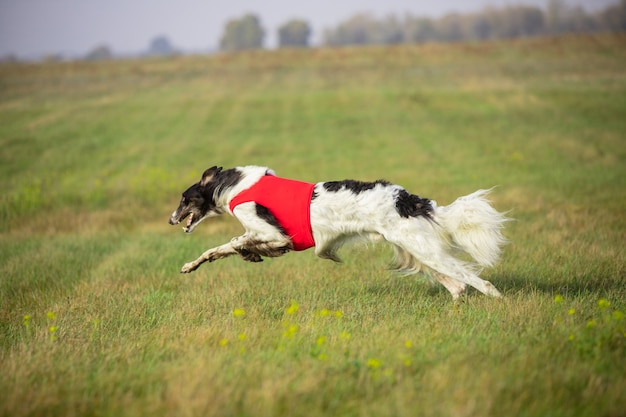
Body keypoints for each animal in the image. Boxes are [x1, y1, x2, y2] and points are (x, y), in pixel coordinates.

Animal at [167, 164, 508, 298]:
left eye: (185, 198)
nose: (171, 220)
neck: (233, 186)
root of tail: (408, 199)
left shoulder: (272, 231)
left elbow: (239, 241)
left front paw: (252, 253)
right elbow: (217, 249)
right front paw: (189, 266)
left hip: (424, 249)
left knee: (481, 282)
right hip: (418, 252)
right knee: (459, 286)